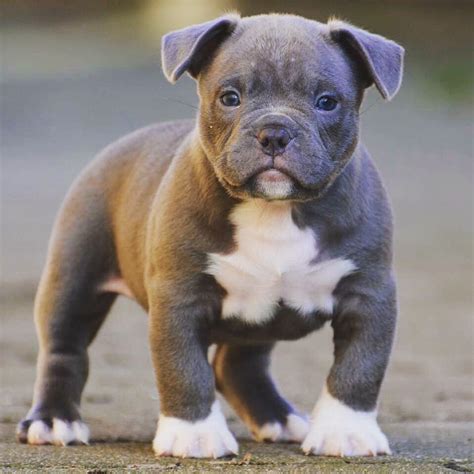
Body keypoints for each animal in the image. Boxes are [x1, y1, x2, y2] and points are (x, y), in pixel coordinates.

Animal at [18, 12, 404, 460]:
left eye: (327, 102)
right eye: (230, 98)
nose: (275, 132)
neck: (275, 209)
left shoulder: (368, 294)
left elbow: (359, 366)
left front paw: (346, 431)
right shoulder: (179, 298)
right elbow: (183, 368)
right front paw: (194, 433)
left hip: (258, 321)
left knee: (236, 364)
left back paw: (278, 417)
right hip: (74, 273)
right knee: (63, 348)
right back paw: (53, 420)